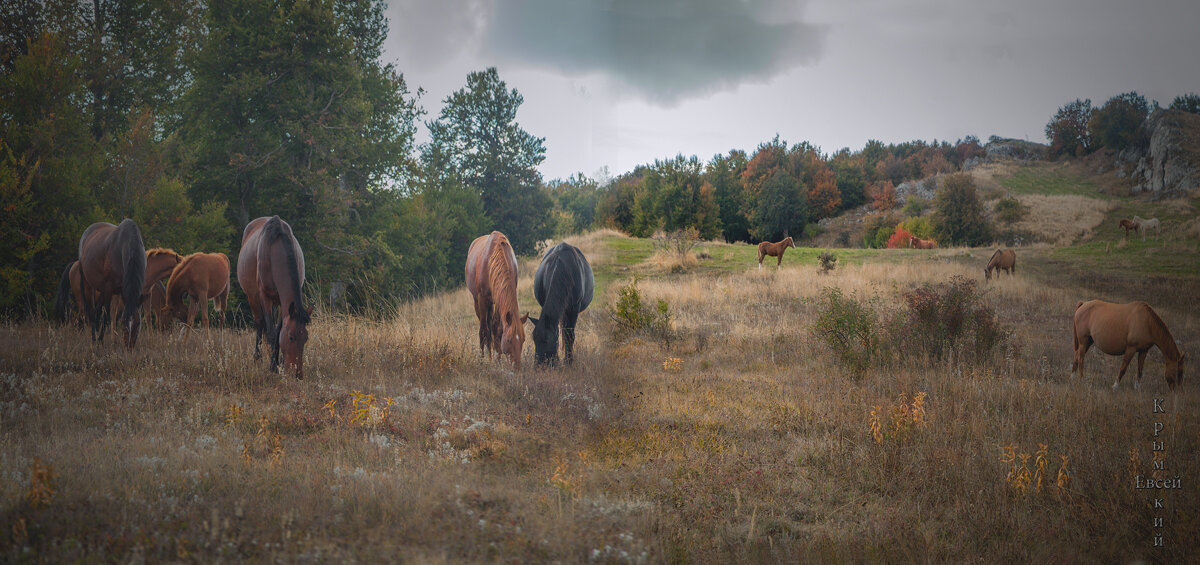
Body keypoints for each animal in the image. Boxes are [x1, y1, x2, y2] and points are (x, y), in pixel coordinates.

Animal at [76, 220, 146, 350]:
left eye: (138, 323)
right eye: (124, 321)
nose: (129, 347)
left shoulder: (121, 291)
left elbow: (113, 315)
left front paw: (113, 341)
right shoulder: (109, 288)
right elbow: (107, 317)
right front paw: (101, 341)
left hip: (103, 291)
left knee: (98, 310)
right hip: (88, 283)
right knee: (92, 311)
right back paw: (94, 340)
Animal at [236, 217, 312, 381]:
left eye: (306, 338)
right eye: (291, 337)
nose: (298, 374)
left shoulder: (284, 303)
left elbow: (278, 331)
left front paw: (280, 364)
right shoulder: (264, 296)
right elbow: (271, 333)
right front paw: (273, 366)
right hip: (253, 297)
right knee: (260, 323)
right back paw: (257, 357)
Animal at [465, 231, 528, 371]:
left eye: (523, 340)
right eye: (509, 340)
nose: (517, 367)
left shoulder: (500, 301)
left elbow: (497, 327)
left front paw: (497, 358)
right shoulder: (482, 299)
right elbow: (484, 330)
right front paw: (484, 360)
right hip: (477, 301)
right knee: (484, 328)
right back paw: (485, 356)